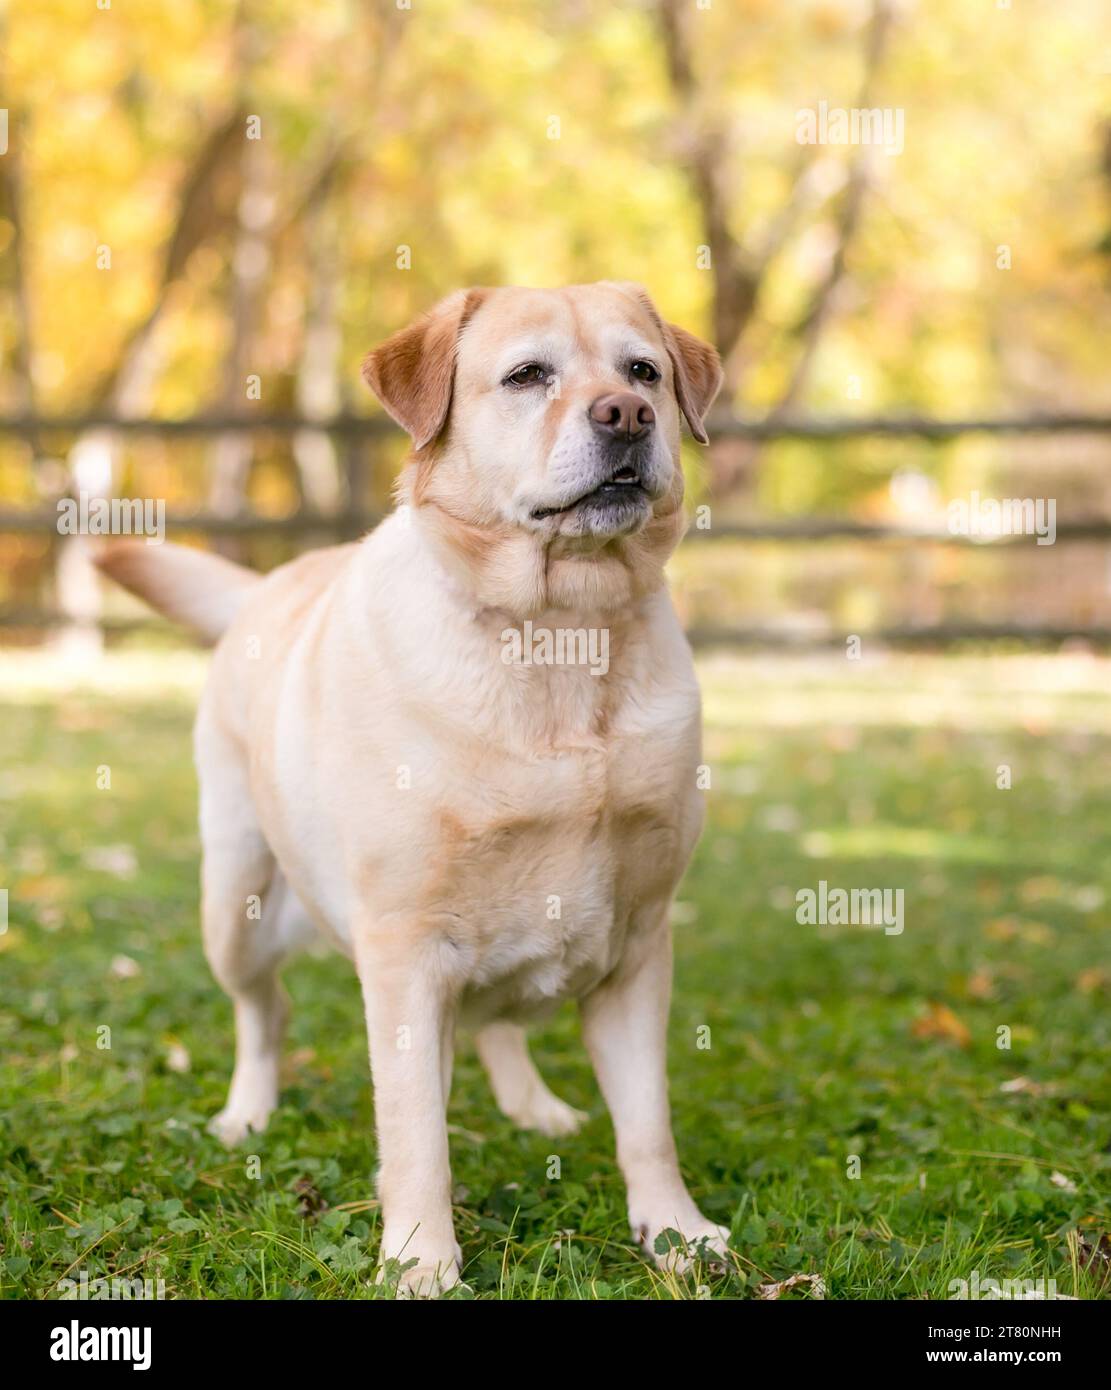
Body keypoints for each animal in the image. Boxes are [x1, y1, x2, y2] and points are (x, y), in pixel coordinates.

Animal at [98, 279, 728, 1289]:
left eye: (644, 373)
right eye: (526, 375)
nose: (625, 417)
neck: (558, 633)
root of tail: (265, 584)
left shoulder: (637, 942)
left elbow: (647, 1123)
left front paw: (675, 1233)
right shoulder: (403, 952)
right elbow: (415, 1134)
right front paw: (421, 1264)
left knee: (497, 1022)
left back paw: (534, 1105)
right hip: (234, 899)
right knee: (263, 1010)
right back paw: (246, 1113)